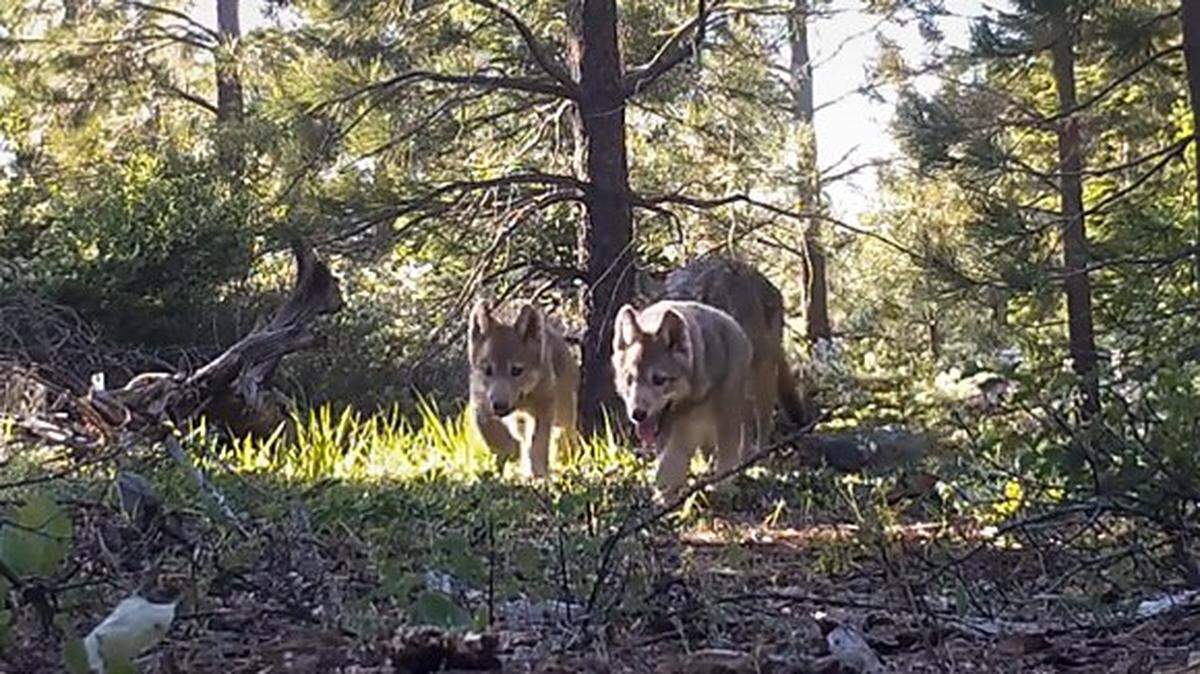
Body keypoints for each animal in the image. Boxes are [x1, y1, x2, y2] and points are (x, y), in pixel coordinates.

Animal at [468, 300, 579, 477]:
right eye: (488, 370)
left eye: (516, 370)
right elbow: (492, 432)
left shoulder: (544, 407)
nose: (499, 404)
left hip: (563, 413)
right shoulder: (481, 402)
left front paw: (538, 472)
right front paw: (510, 451)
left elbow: (538, 443)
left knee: (566, 433)